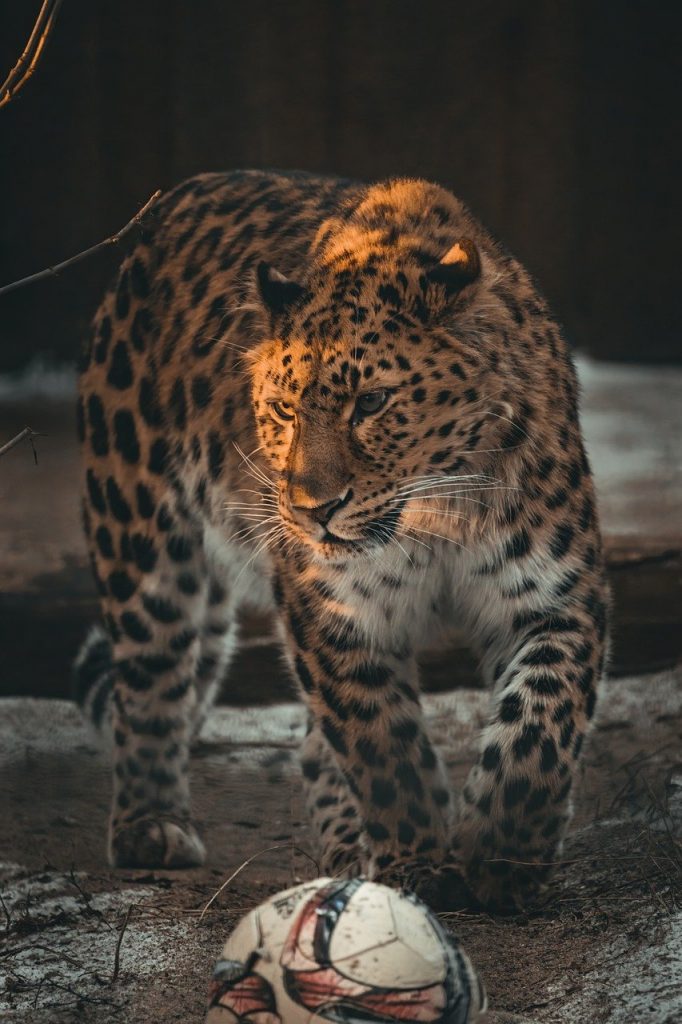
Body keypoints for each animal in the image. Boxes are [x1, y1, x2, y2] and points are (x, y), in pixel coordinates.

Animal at [74, 168, 608, 913]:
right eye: (283, 410)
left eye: (372, 404)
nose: (311, 509)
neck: (434, 513)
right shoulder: (332, 611)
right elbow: (381, 744)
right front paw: (418, 863)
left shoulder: (554, 599)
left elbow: (541, 724)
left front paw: (504, 853)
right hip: (143, 539)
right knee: (151, 683)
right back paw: (151, 826)